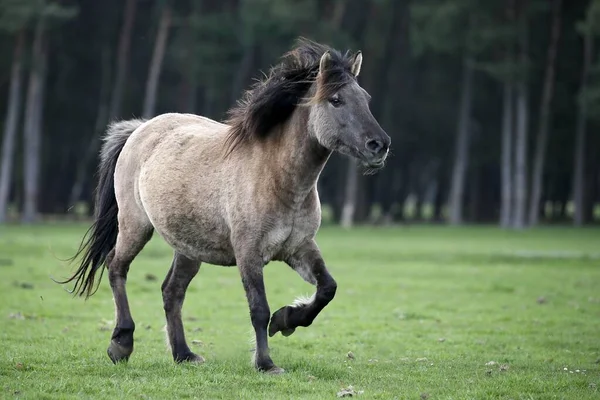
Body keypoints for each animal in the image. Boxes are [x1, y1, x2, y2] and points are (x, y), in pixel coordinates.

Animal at [58, 37, 392, 376]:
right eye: (336, 100)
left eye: (365, 98)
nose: (379, 145)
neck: (276, 177)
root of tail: (140, 129)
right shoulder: (248, 252)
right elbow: (258, 308)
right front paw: (266, 363)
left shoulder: (299, 247)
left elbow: (327, 289)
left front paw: (286, 320)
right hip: (135, 226)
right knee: (117, 267)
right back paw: (121, 343)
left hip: (188, 248)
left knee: (172, 291)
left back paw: (183, 353)